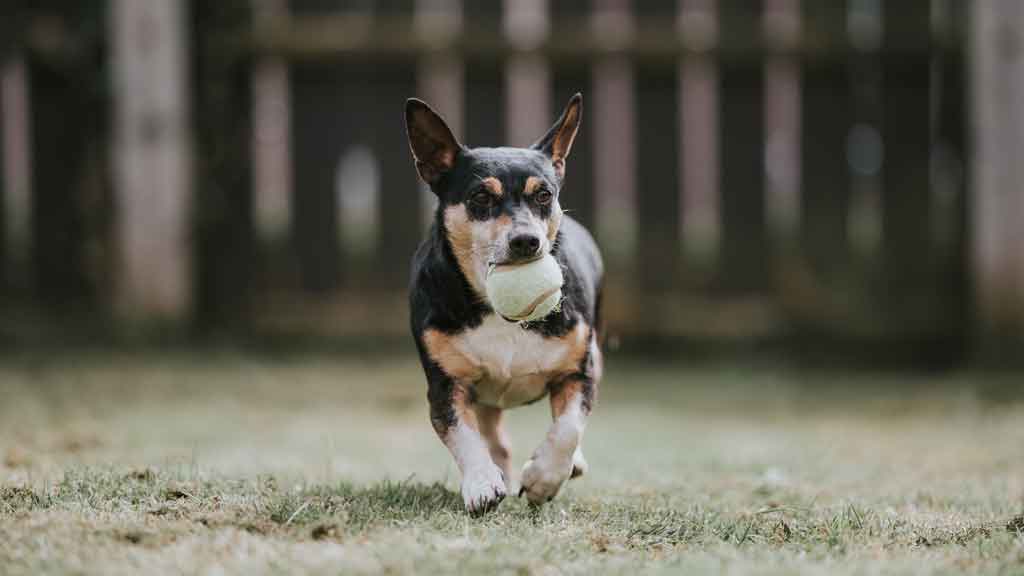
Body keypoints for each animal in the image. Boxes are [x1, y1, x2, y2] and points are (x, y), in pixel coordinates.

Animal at [405, 93, 602, 510]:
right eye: (481, 197)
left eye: (544, 195)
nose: (527, 240)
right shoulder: (446, 384)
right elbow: (464, 435)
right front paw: (481, 482)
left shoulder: (578, 370)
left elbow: (568, 428)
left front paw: (543, 479)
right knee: (493, 436)